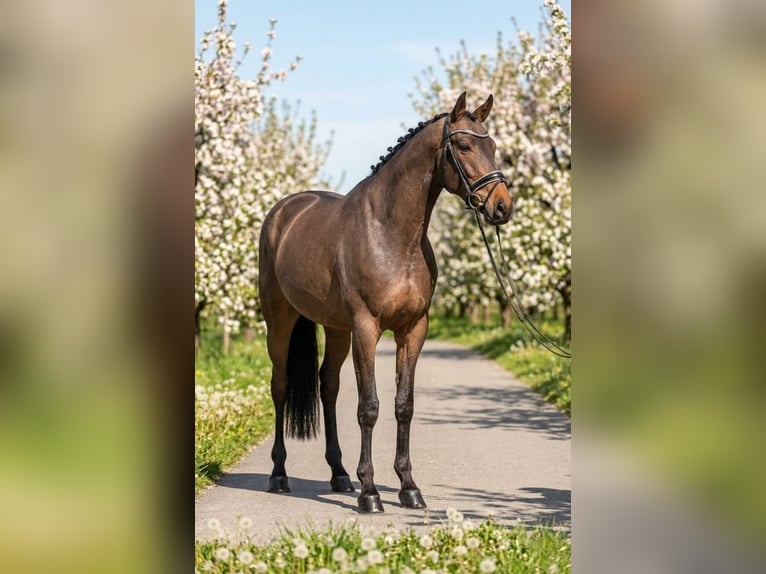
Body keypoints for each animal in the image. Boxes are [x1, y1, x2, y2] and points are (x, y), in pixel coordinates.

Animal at [258, 92, 512, 513]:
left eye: (492, 146)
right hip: (280, 320)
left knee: (328, 387)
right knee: (280, 386)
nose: (502, 207)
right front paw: (370, 493)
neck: (391, 234)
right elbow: (370, 407)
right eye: (463, 146)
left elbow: (403, 405)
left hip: (336, 329)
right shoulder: (366, 328)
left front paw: (408, 487)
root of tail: (283, 212)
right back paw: (279, 475)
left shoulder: (413, 329)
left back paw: (339, 474)